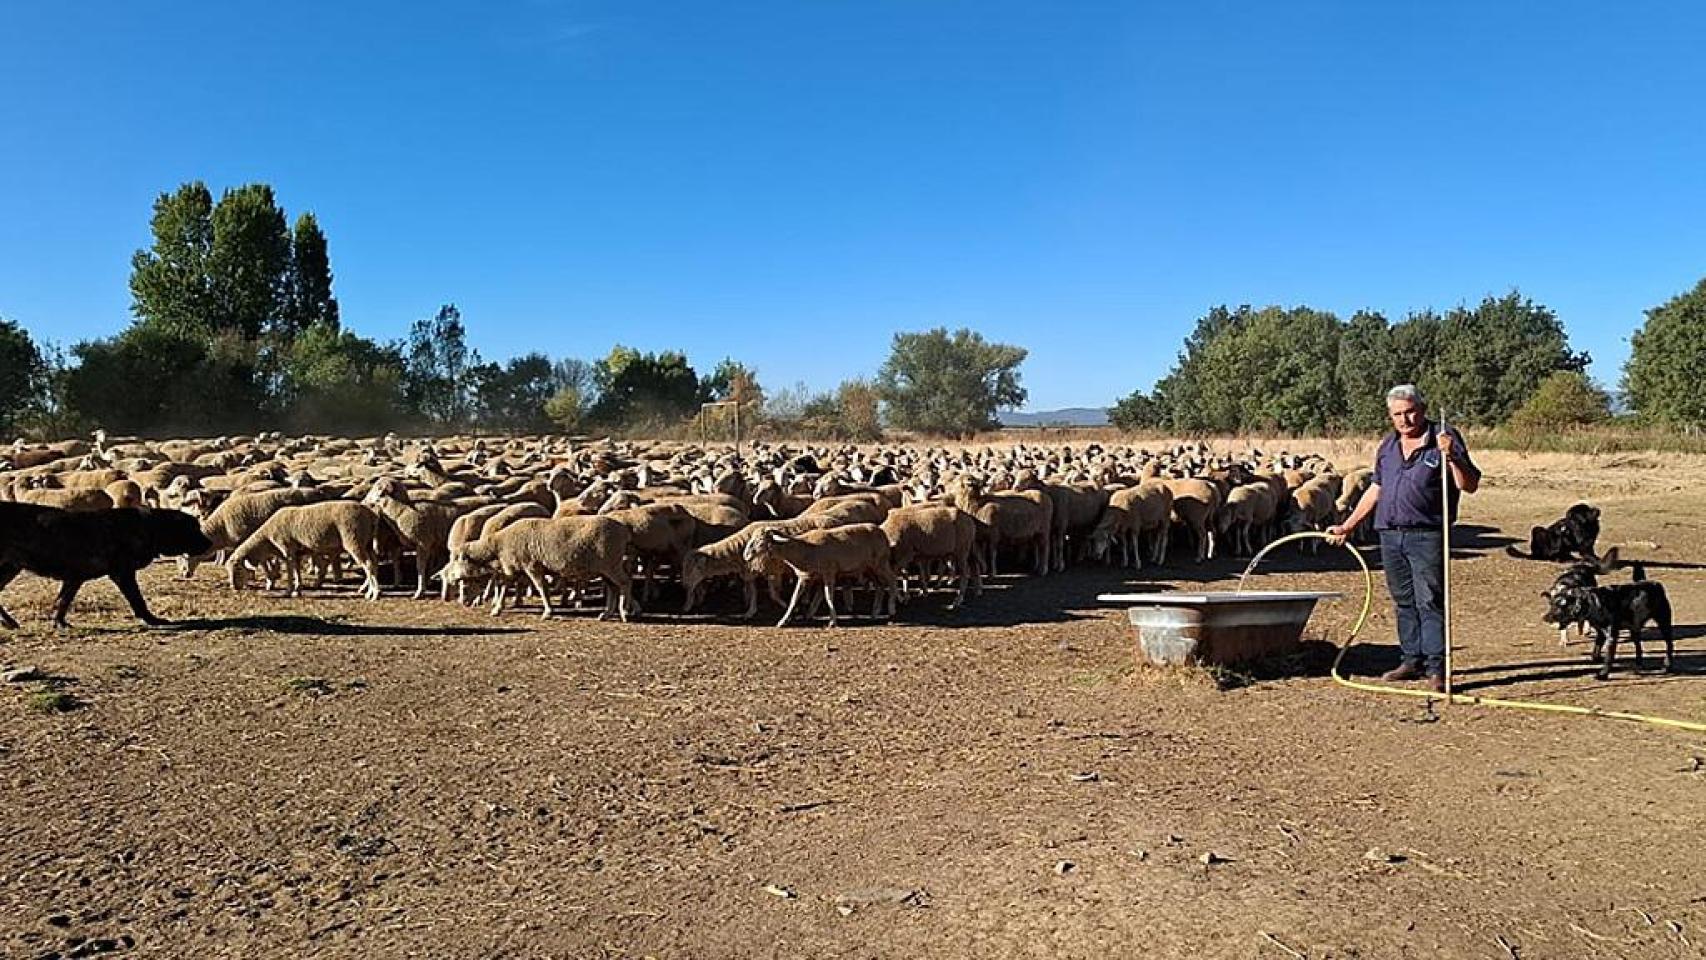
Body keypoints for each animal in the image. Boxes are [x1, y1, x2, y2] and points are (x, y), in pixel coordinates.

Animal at [227, 500, 383, 600]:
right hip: (367, 543)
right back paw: (365, 589)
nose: (234, 587)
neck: (267, 538)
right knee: (374, 563)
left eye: (238, 569)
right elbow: (297, 572)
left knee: (368, 565)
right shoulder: (297, 553)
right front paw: (298, 590)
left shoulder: (288, 550)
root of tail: (371, 515)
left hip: (354, 540)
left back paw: (373, 594)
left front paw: (288, 591)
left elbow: (290, 572)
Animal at [743, 523, 897, 627]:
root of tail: (881, 531)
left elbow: (828, 596)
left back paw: (891, 608)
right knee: (880, 586)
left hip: (881, 563)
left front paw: (832, 621)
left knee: (892, 579)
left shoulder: (829, 573)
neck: (804, 549)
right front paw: (783, 621)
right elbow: (794, 599)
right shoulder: (805, 577)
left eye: (760, 540)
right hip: (869, 568)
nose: (746, 555)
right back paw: (875, 612)